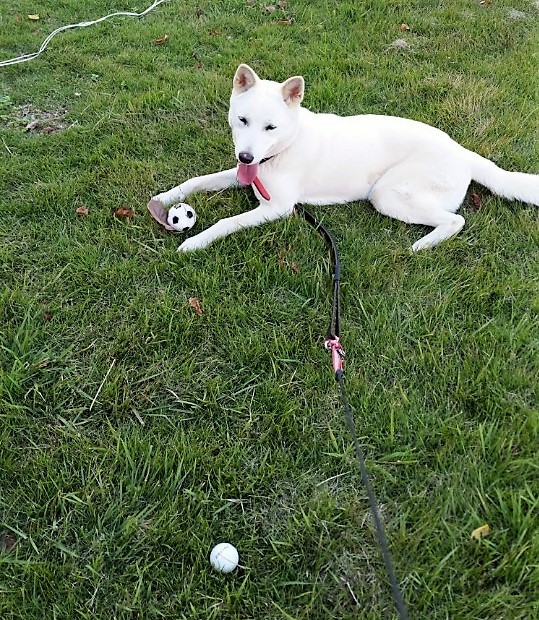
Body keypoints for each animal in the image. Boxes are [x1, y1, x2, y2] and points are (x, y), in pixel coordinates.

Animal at [152, 64, 539, 253]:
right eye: (243, 120)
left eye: (271, 127)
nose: (246, 155)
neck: (284, 147)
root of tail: (463, 151)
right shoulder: (243, 173)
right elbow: (196, 181)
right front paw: (165, 199)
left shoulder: (277, 209)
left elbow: (225, 222)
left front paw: (194, 242)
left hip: (387, 194)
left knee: (455, 221)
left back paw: (424, 244)